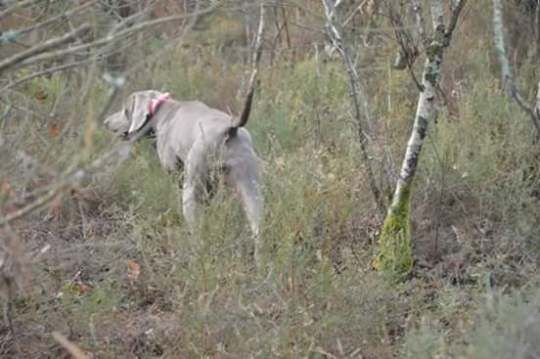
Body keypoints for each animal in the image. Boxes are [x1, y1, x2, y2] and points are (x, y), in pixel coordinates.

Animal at [104, 90, 262, 262]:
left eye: (125, 110)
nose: (106, 122)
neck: (165, 111)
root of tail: (230, 128)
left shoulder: (175, 169)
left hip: (192, 184)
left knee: (196, 230)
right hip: (249, 185)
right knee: (258, 224)